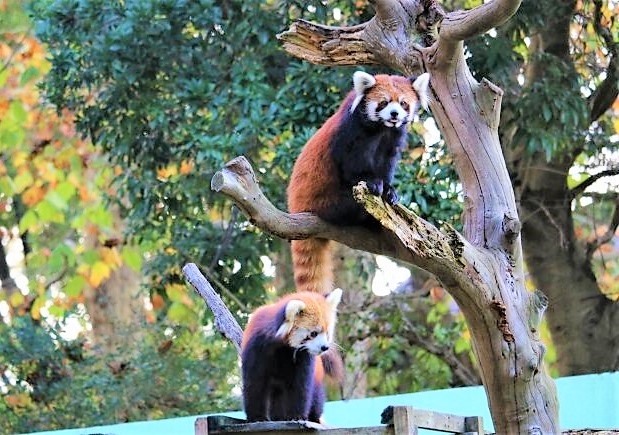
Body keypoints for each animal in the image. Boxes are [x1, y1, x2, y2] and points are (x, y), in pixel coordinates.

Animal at [240, 288, 344, 424]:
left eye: (327, 333)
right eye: (313, 333)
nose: (324, 347)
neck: (282, 347)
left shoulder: (303, 358)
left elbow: (300, 387)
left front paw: (296, 416)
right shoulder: (256, 349)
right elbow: (255, 383)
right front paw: (257, 417)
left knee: (316, 399)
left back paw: (314, 418)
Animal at [286, 71, 428, 294]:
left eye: (403, 103)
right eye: (384, 102)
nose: (394, 114)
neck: (383, 129)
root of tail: (297, 207)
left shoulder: (392, 140)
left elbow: (387, 166)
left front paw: (390, 191)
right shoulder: (351, 134)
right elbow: (352, 168)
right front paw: (374, 183)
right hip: (327, 203)